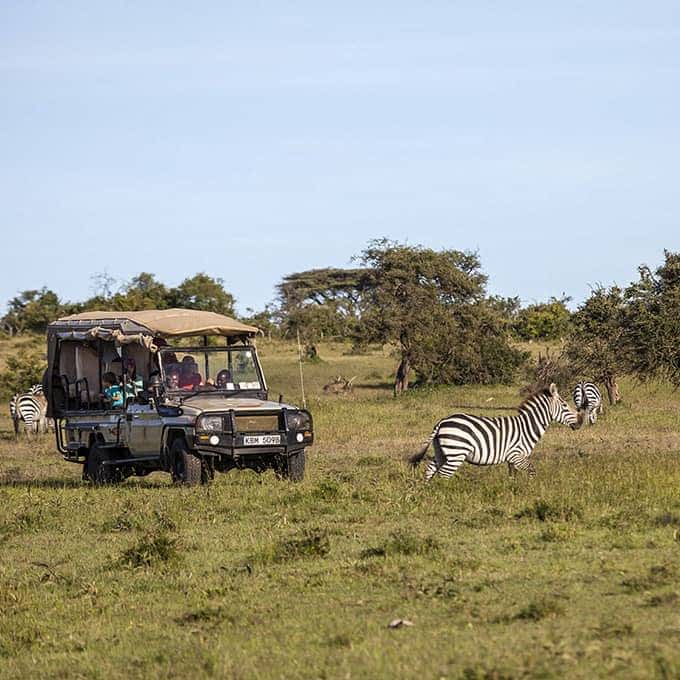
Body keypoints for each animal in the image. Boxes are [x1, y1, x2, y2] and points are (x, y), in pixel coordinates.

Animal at [406, 382, 580, 478]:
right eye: (565, 405)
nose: (579, 423)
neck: (528, 426)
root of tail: (442, 422)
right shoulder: (516, 454)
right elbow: (532, 470)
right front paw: (530, 490)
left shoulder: (511, 459)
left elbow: (512, 476)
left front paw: (513, 492)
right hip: (456, 453)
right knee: (444, 474)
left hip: (442, 452)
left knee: (430, 470)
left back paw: (428, 492)